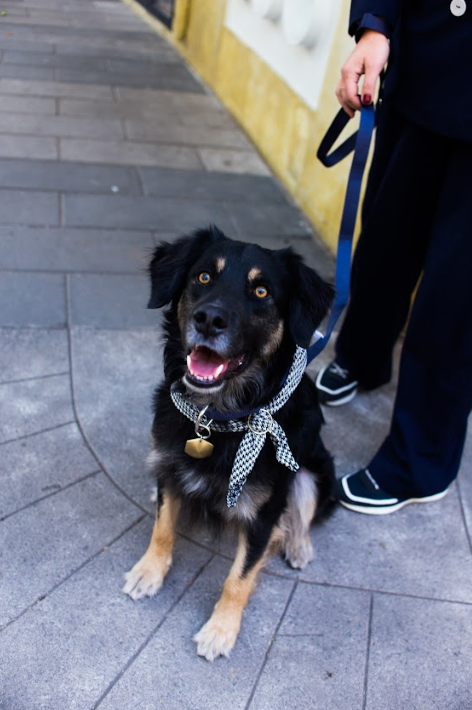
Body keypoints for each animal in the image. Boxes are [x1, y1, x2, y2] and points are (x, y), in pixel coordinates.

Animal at [121, 227, 336, 660]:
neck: (217, 419)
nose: (209, 319)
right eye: (204, 277)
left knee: (304, 508)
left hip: (315, 468)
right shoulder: (169, 464)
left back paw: (298, 545)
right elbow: (163, 527)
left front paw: (221, 630)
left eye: (262, 292)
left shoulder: (265, 512)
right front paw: (149, 571)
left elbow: (239, 577)